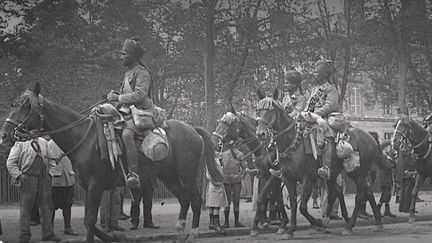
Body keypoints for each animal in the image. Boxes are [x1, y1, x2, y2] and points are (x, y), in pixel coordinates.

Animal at [0, 82, 223, 243]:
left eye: (26, 107)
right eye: (13, 105)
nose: (5, 135)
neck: (84, 138)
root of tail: (192, 129)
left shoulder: (96, 184)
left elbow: (89, 220)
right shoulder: (90, 187)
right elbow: (91, 220)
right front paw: (114, 235)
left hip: (186, 174)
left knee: (195, 199)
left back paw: (193, 233)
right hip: (167, 175)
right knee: (184, 199)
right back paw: (180, 232)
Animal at [211, 106, 288, 235]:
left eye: (228, 123)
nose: (214, 141)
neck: (266, 147)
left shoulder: (274, 176)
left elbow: (265, 197)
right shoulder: (266, 175)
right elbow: (275, 197)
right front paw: (282, 222)